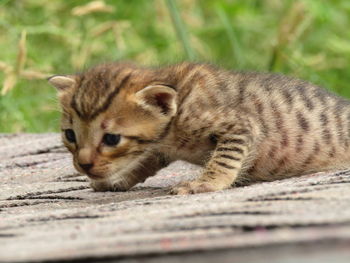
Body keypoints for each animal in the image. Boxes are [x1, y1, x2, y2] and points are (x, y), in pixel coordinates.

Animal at [48, 61, 350, 194]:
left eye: (111, 139)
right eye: (70, 135)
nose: (83, 164)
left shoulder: (241, 125)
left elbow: (224, 160)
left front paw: (207, 182)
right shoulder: (160, 149)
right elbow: (143, 164)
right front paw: (118, 180)